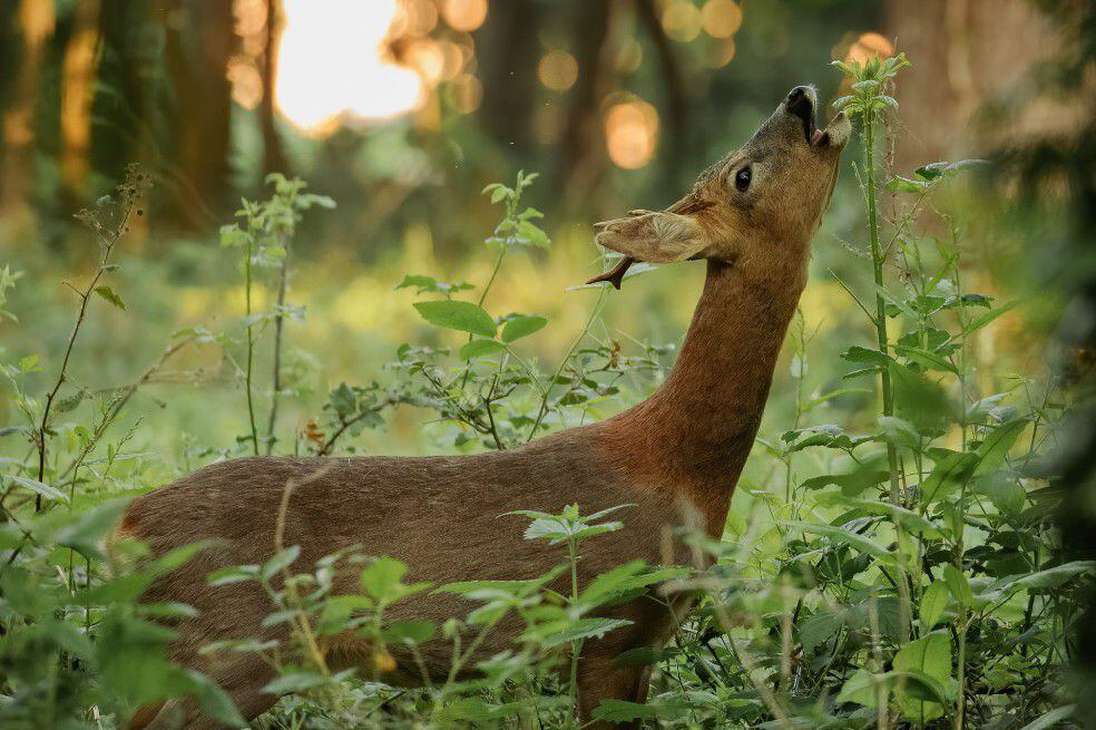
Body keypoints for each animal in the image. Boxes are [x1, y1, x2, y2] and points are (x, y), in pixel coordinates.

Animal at [124, 83, 850, 723]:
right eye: (744, 176)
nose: (797, 100)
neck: (680, 468)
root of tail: (125, 526)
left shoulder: (643, 642)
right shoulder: (606, 623)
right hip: (229, 647)